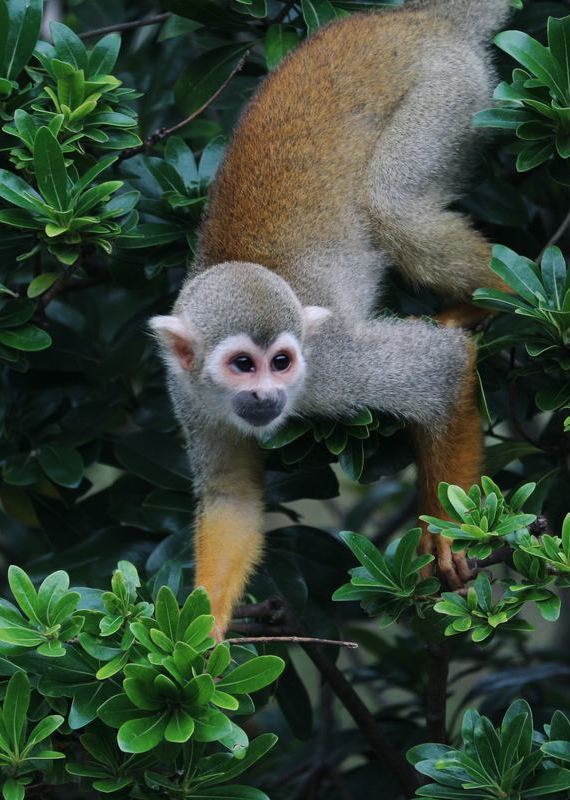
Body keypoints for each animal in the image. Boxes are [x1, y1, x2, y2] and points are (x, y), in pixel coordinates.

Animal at [150, 0, 513, 638]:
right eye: (241, 365)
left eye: (282, 361)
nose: (266, 397)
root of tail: (411, 17)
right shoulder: (188, 393)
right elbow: (232, 498)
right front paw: (202, 626)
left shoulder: (331, 367)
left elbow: (441, 371)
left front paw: (448, 532)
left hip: (447, 93)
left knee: (392, 208)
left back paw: (500, 295)